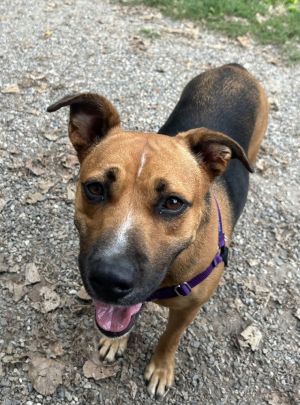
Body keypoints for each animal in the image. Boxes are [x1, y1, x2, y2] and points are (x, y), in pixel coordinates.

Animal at [48, 64, 268, 398]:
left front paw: (162, 368)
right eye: (95, 188)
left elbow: (171, 337)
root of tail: (235, 67)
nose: (109, 280)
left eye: (173, 203)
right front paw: (115, 341)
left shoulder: (189, 308)